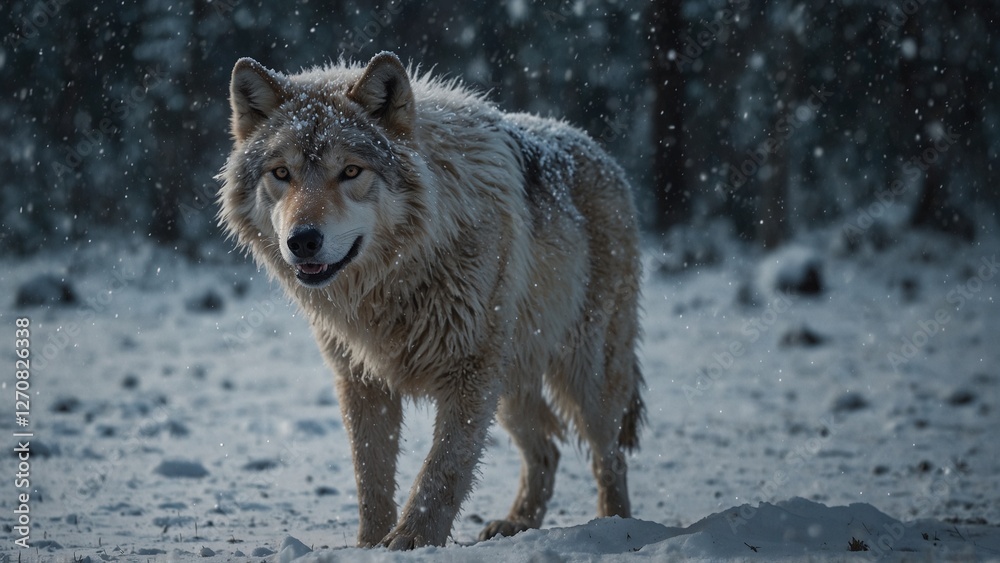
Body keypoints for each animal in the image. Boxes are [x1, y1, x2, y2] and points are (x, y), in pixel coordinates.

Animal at [218, 51, 644, 550]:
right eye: (281, 174)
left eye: (350, 172)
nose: (302, 240)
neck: (394, 283)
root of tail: (601, 153)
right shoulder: (360, 379)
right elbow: (371, 475)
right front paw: (369, 544)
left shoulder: (471, 374)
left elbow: (443, 471)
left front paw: (410, 541)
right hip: (510, 386)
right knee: (548, 450)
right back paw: (516, 523)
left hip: (583, 376)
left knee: (608, 455)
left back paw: (618, 528)